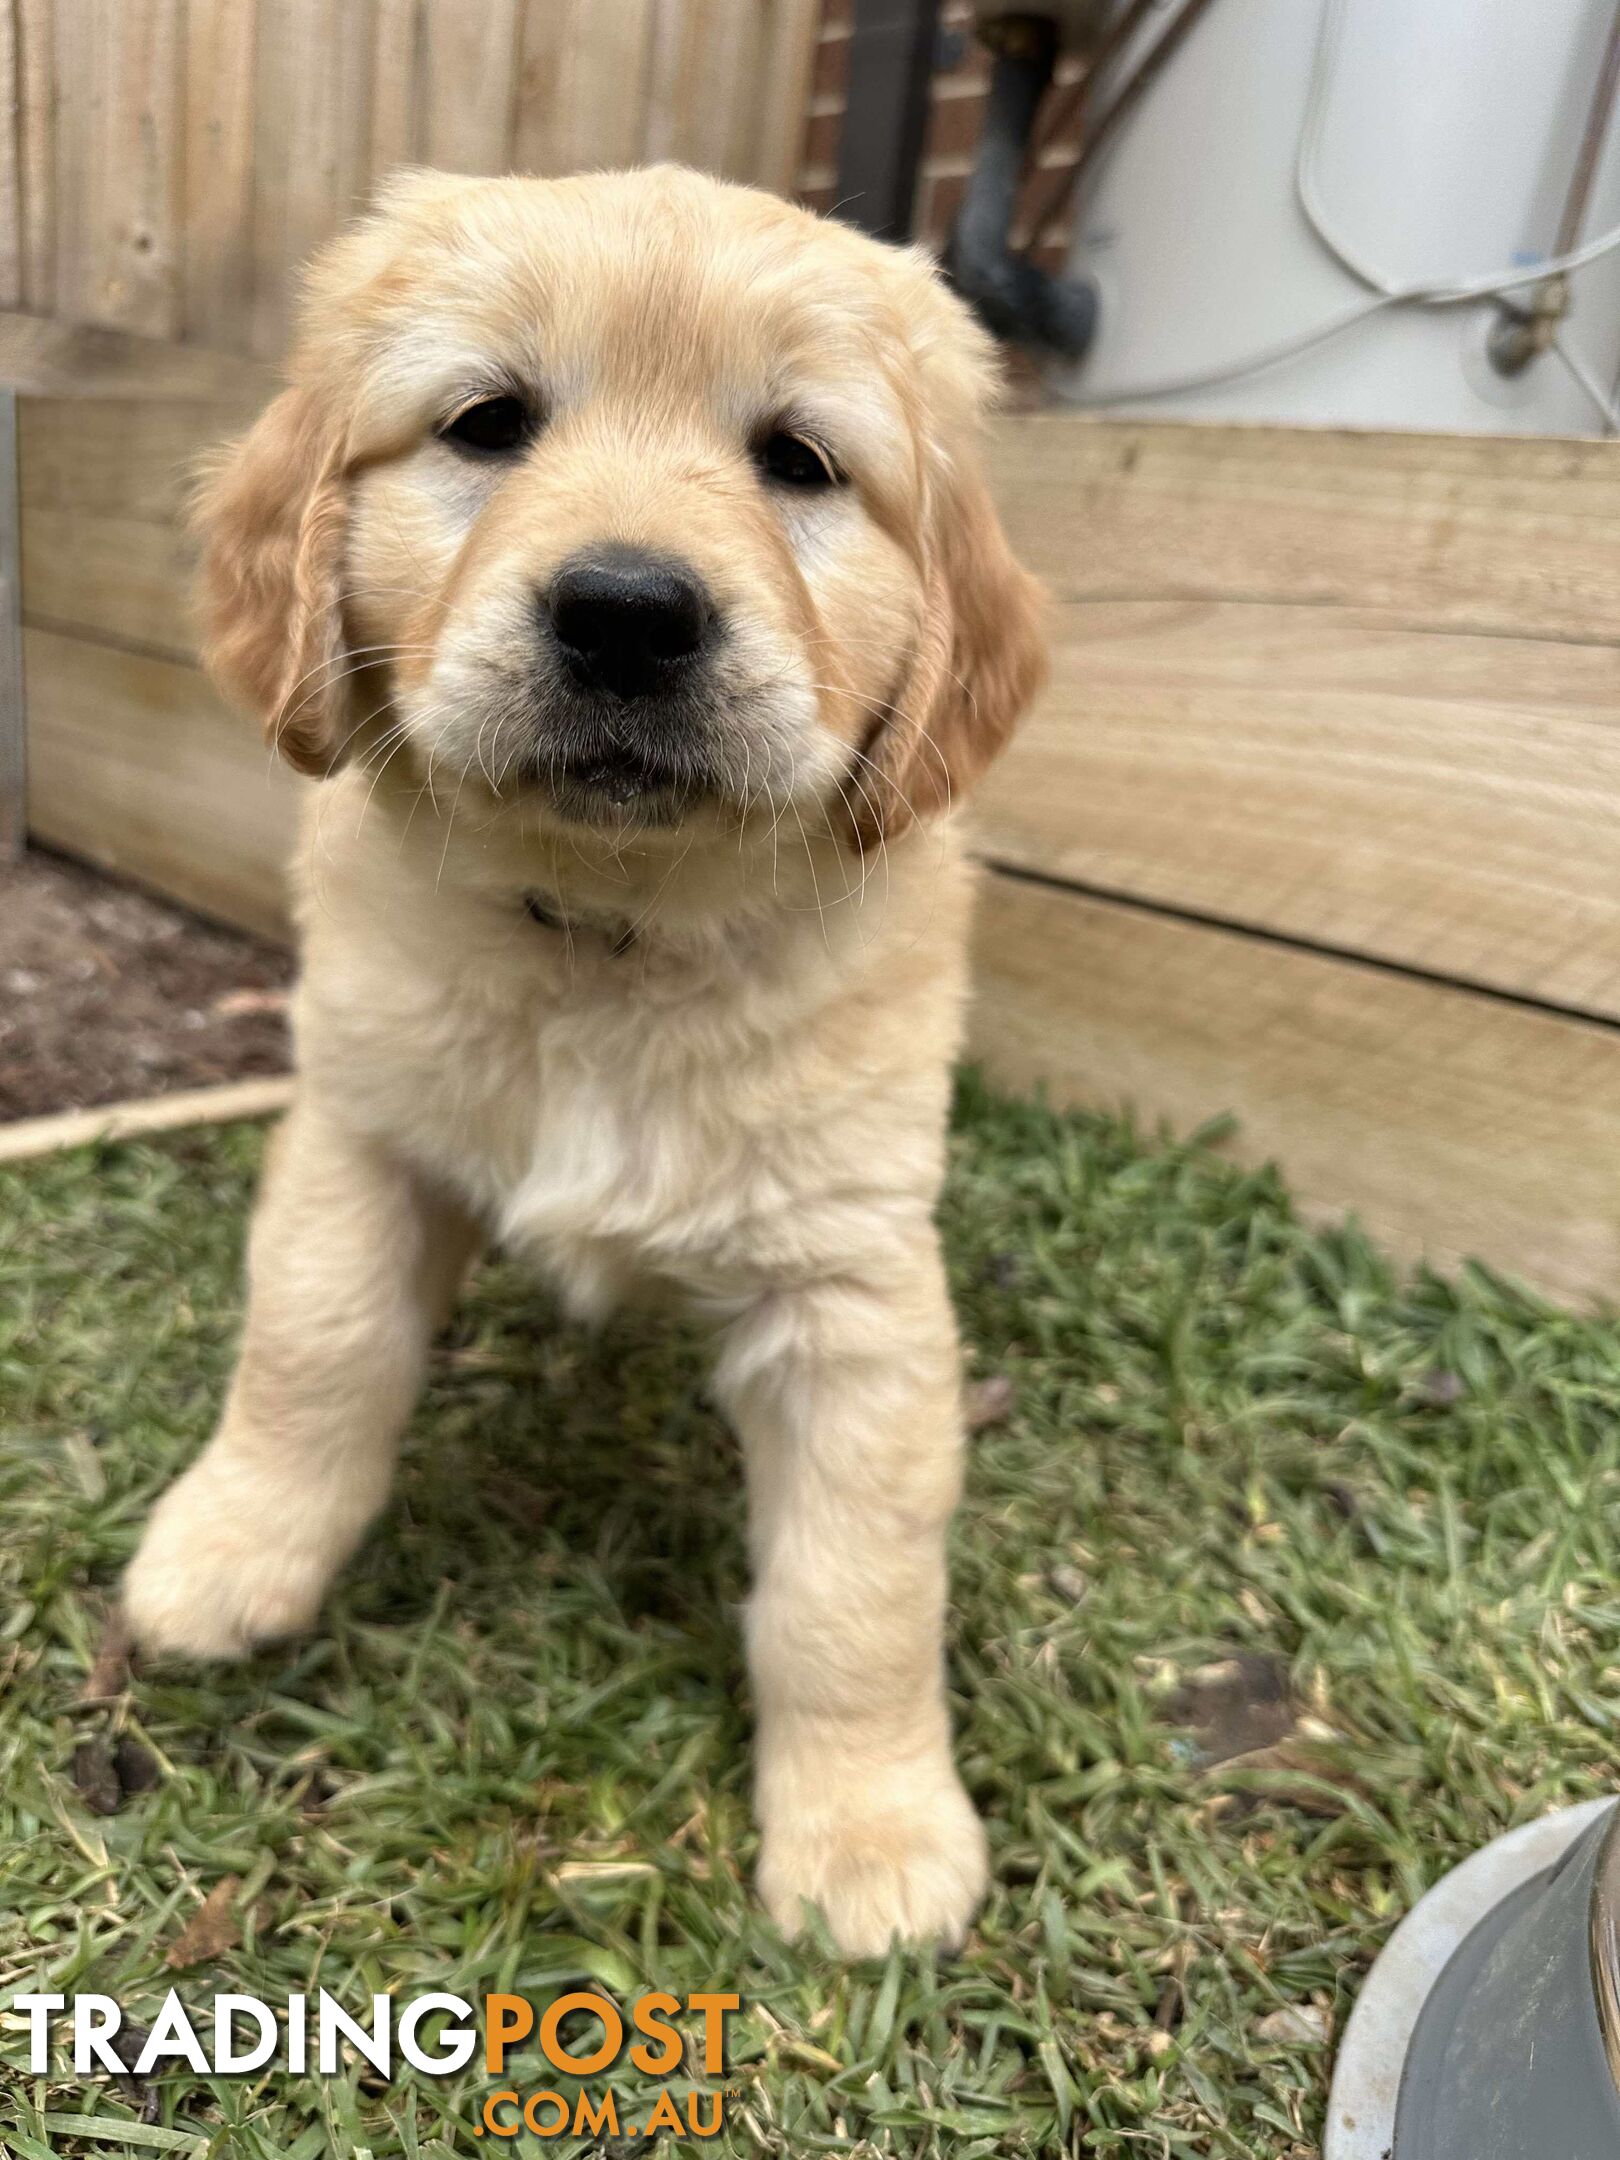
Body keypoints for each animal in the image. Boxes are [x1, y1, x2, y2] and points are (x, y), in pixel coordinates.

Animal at [123, 168, 1041, 1961]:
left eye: (799, 460)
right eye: (489, 423)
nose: (629, 611)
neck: (612, 939)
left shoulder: (851, 1285)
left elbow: (855, 1585)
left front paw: (875, 1837)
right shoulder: (358, 1135)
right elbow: (313, 1351)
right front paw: (230, 1549)